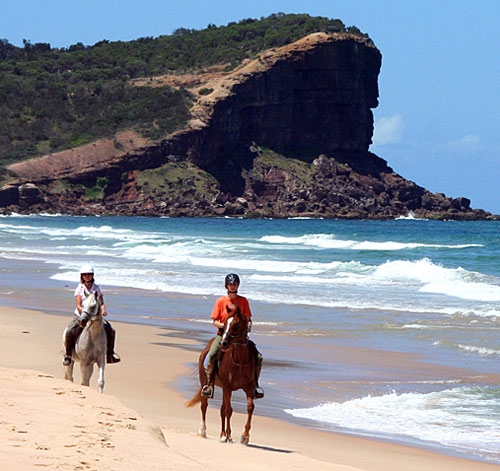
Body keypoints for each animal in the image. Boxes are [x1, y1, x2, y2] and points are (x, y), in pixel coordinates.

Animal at [187, 310, 258, 446]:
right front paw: (229, 436)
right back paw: (204, 431)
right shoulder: (227, 387)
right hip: (205, 381)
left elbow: (250, 408)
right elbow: (229, 410)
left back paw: (222, 434)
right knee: (204, 405)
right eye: (224, 324)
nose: (223, 343)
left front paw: (245, 436)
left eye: (236, 324)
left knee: (221, 409)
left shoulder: (249, 387)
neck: (239, 361)